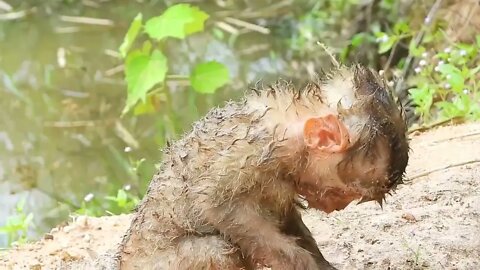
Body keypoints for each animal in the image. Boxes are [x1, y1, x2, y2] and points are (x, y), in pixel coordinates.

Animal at [116, 64, 408, 268]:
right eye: (343, 192)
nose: (336, 206)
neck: (288, 127)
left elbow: (286, 219)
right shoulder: (248, 157)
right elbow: (219, 206)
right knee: (215, 249)